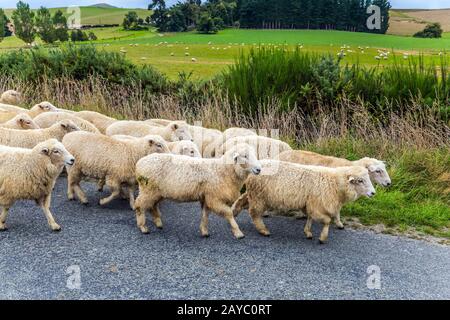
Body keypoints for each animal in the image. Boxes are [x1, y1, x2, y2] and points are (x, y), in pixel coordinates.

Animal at [232, 161, 376, 244]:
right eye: (360, 181)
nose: (373, 193)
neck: (335, 183)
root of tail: (253, 169)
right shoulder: (318, 205)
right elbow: (327, 221)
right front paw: (322, 238)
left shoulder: (311, 204)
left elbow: (310, 218)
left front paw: (307, 232)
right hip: (259, 196)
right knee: (254, 213)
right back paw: (263, 230)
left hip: (254, 194)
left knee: (242, 200)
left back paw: (234, 212)